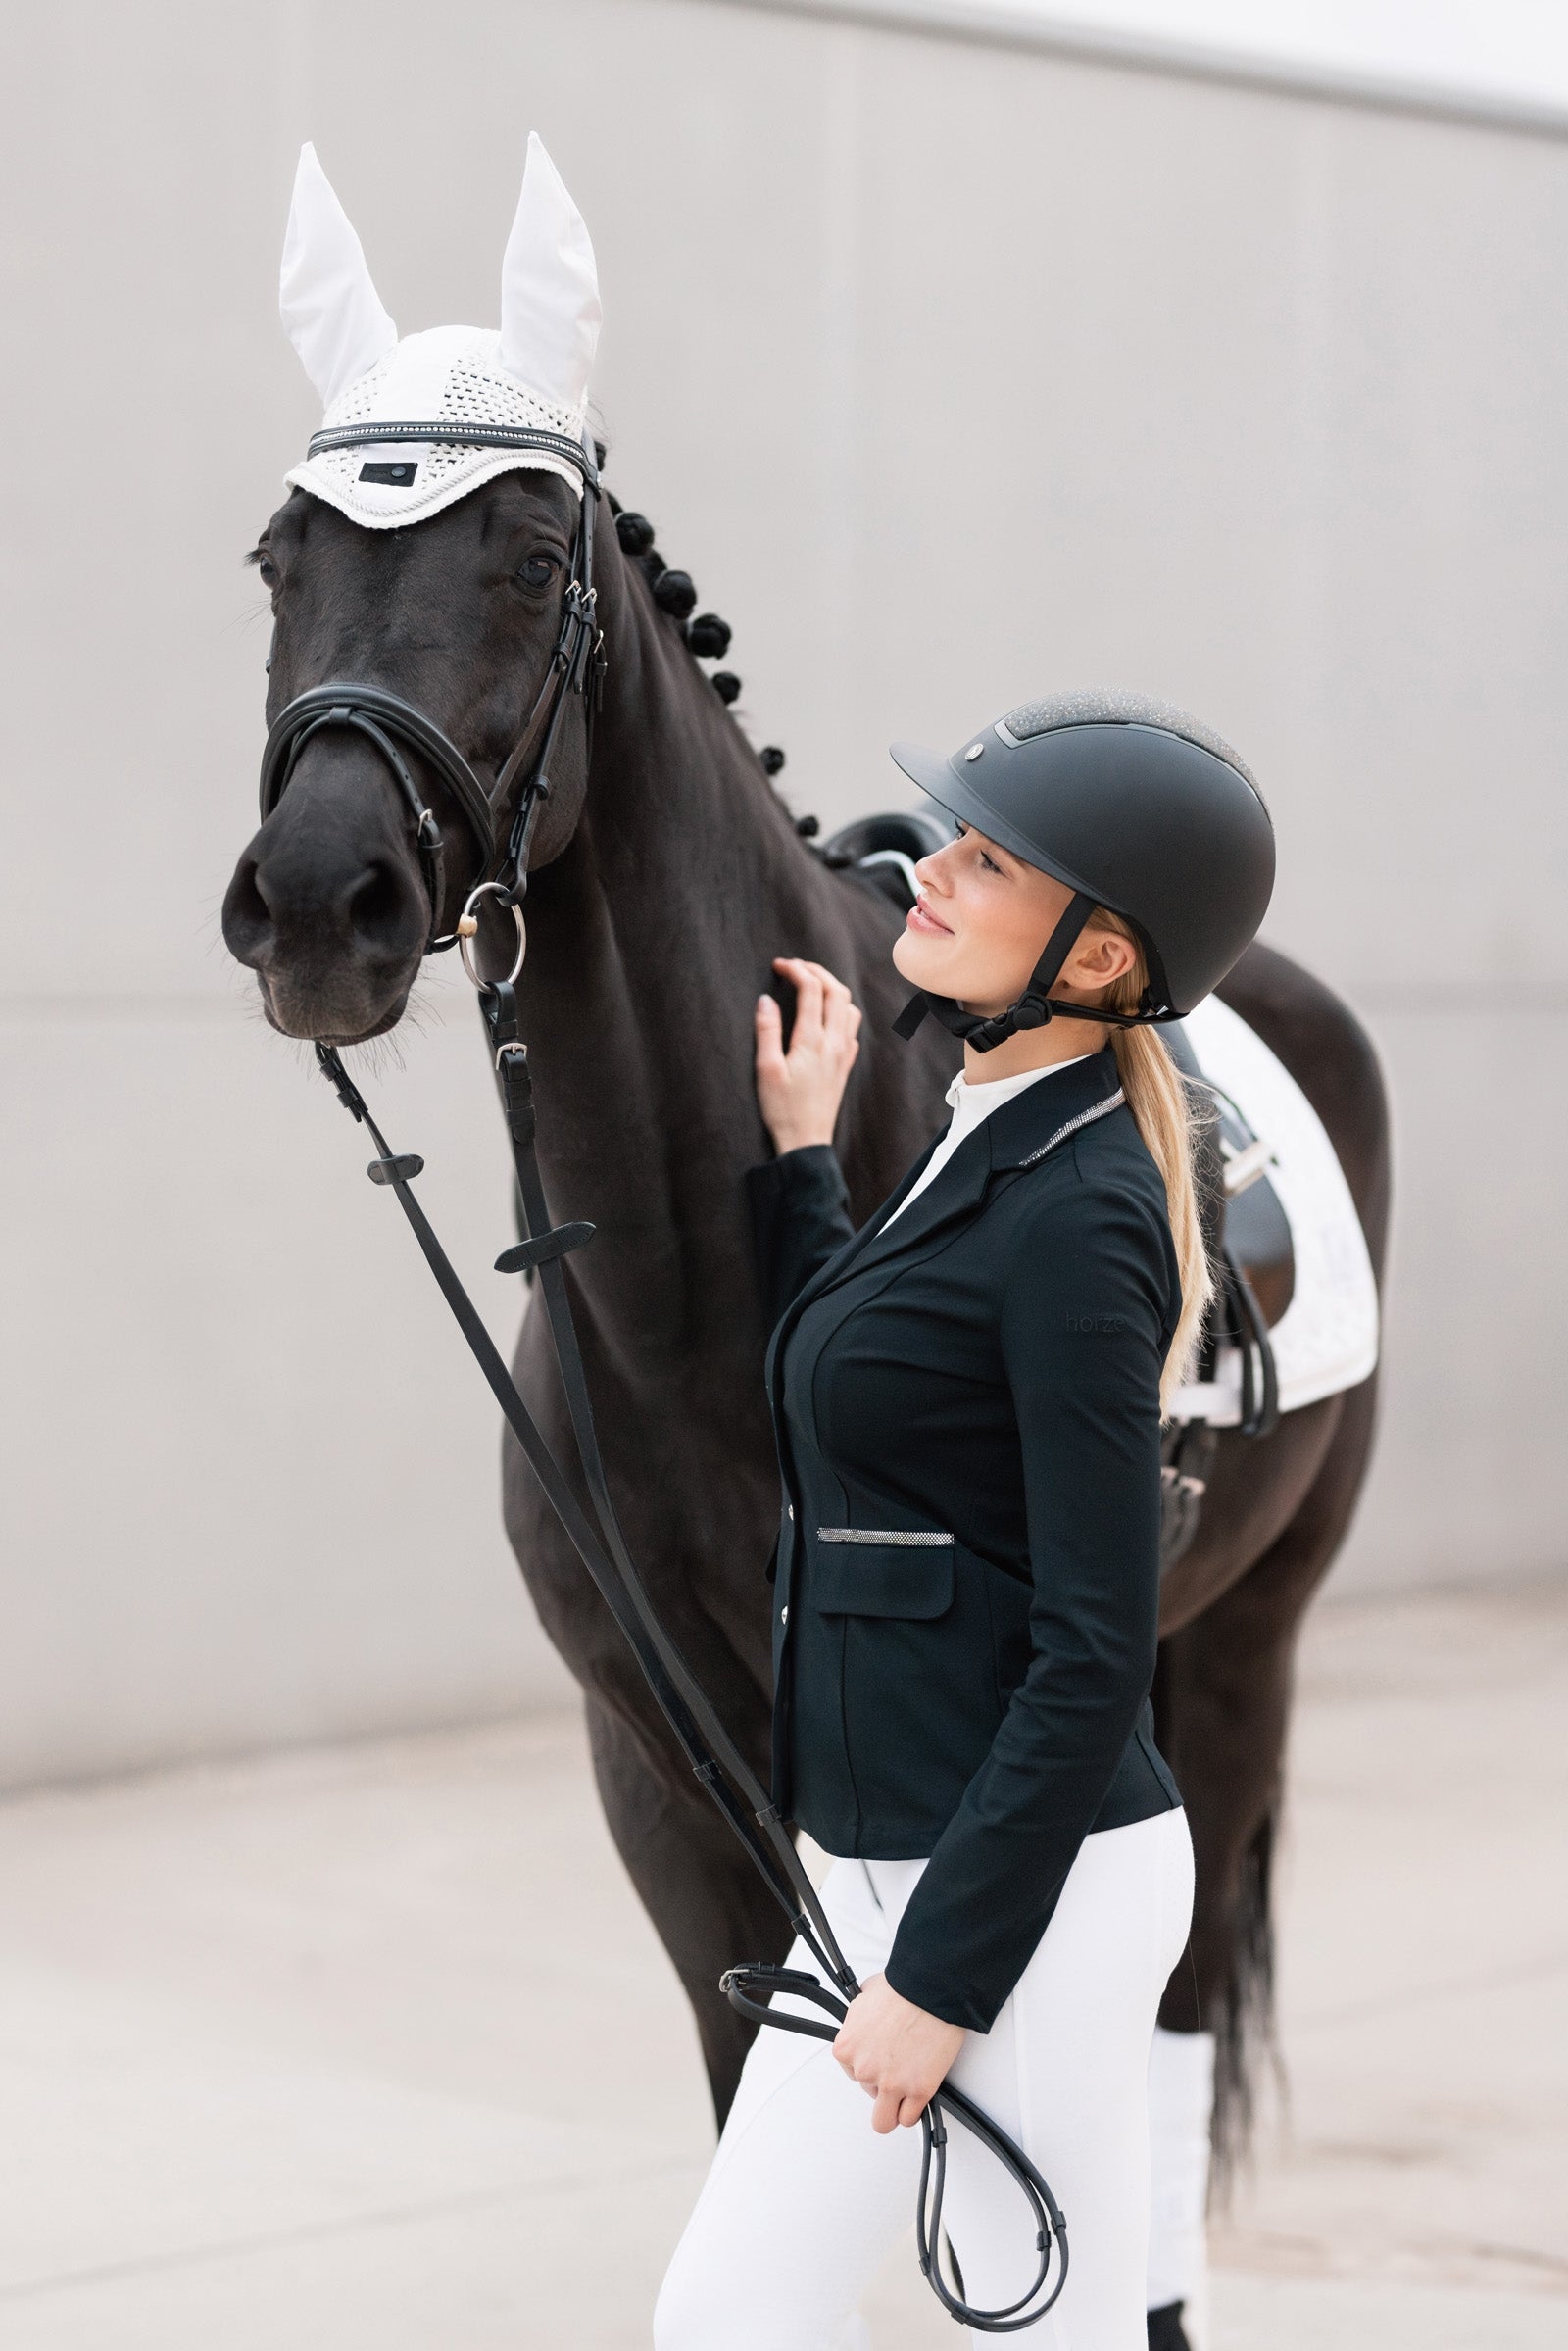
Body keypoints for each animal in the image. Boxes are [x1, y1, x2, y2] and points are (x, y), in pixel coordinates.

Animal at [222, 460, 1390, 2336]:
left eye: (532, 559)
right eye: (280, 557)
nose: (323, 899)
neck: (676, 1300)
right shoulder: (662, 1769)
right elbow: (757, 2101)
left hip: (1243, 1647)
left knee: (1179, 2010)